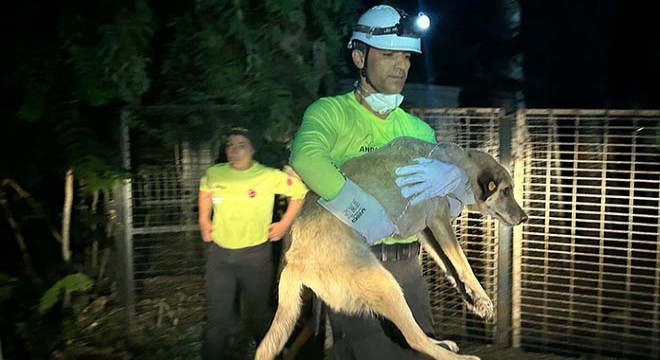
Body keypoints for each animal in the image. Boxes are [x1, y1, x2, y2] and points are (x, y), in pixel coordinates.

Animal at [255, 136, 528, 358]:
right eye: (506, 191)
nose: (524, 217)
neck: (457, 164)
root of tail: (295, 261)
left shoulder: (427, 232)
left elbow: (450, 267)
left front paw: (475, 302)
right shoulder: (438, 221)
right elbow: (463, 265)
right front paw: (482, 297)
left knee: (415, 335)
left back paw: (442, 343)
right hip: (386, 285)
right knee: (415, 340)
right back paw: (458, 357)